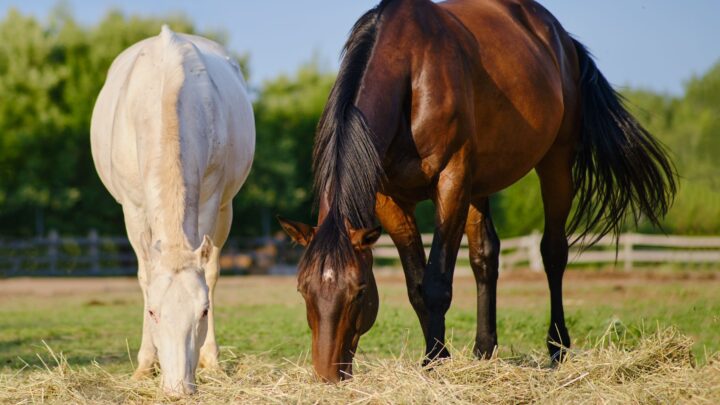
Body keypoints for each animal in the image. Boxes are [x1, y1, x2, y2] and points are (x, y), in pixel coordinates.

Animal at [89, 26, 255, 394]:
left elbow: (208, 272)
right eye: (152, 312)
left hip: (227, 209)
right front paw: (145, 365)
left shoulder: (210, 200)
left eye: (203, 311)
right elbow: (144, 275)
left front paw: (211, 362)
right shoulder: (133, 209)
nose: (179, 388)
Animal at [276, 0, 676, 382]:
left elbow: (436, 284)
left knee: (553, 252)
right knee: (486, 255)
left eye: (359, 290)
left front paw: (435, 362)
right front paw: (440, 355)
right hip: (478, 186)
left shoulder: (451, 181)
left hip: (554, 163)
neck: (411, 71)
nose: (328, 374)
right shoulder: (390, 200)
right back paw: (484, 350)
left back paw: (557, 347)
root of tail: (561, 38)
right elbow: (416, 286)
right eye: (303, 290)